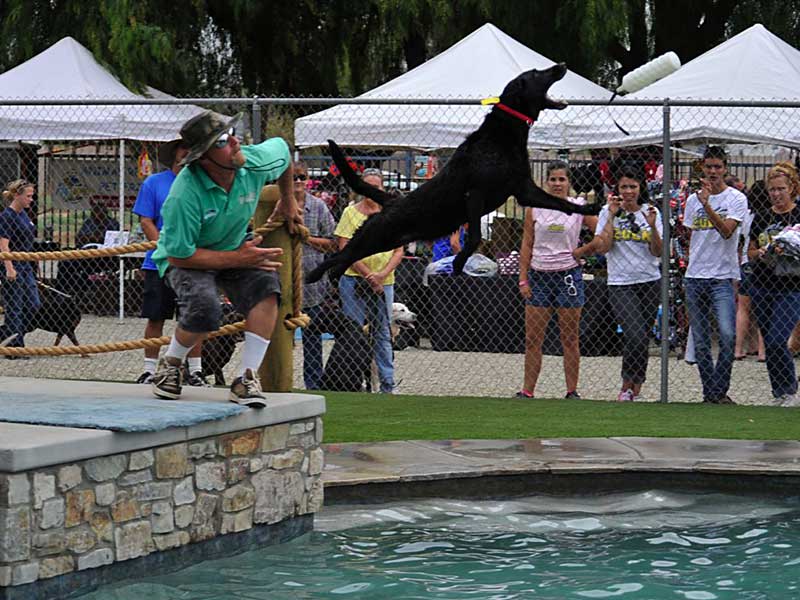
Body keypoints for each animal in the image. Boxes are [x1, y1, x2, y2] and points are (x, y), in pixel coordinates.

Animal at [306, 63, 600, 284]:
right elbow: (475, 236)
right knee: (339, 254)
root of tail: (392, 199)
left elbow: (560, 202)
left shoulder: (523, 190)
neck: (503, 135)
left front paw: (590, 208)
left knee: (344, 260)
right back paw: (313, 275)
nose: (561, 65)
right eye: (538, 73)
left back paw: (333, 276)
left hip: (383, 241)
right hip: (374, 235)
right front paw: (459, 262)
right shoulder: (476, 194)